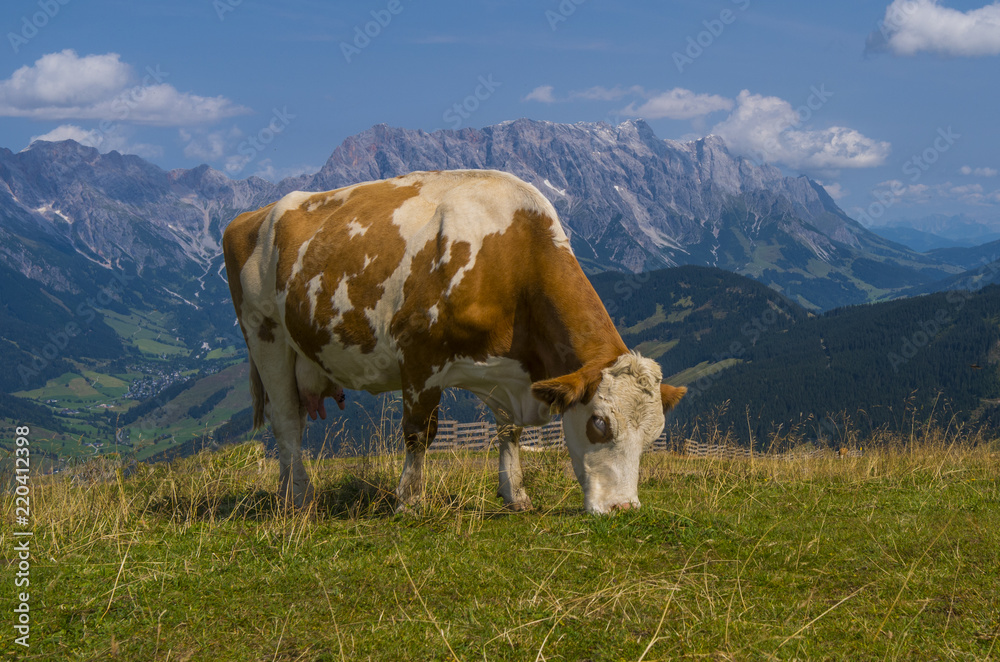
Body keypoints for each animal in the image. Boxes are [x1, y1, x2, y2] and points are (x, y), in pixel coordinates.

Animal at [222, 169, 686, 514]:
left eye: (653, 436)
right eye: (599, 424)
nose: (624, 508)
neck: (512, 257)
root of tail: (253, 215)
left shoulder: (506, 372)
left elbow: (509, 431)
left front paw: (515, 495)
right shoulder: (418, 355)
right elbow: (419, 433)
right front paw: (410, 501)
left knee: (292, 420)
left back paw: (285, 491)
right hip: (265, 336)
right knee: (286, 421)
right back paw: (300, 498)